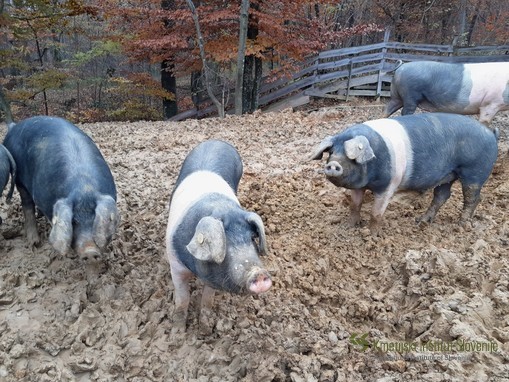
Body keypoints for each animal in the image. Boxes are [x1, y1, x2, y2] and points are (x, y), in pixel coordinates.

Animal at [2, 116, 119, 260]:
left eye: (94, 219)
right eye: (73, 222)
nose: (90, 252)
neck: (84, 188)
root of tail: (14, 126)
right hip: (19, 179)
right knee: (27, 205)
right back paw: (34, 243)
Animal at [166, 140, 270, 332]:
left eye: (252, 239)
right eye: (224, 243)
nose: (258, 273)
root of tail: (216, 141)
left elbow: (208, 298)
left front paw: (205, 328)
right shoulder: (175, 265)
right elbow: (182, 298)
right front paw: (178, 331)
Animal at [308, 112, 498, 234]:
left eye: (351, 156)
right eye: (332, 152)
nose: (333, 164)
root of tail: (492, 134)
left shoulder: (389, 185)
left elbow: (376, 212)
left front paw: (371, 235)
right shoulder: (358, 186)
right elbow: (355, 205)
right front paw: (348, 228)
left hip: (475, 171)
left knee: (473, 197)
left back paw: (461, 225)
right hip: (448, 175)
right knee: (442, 195)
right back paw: (421, 221)